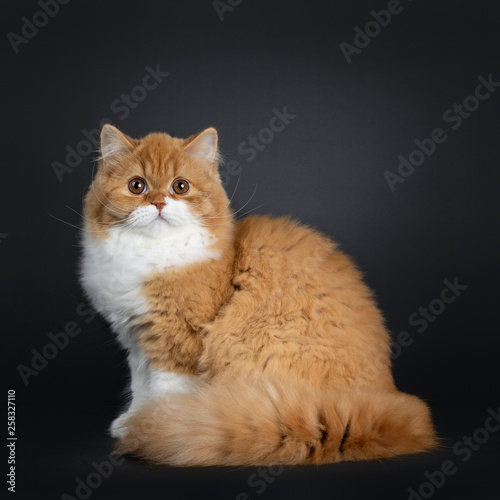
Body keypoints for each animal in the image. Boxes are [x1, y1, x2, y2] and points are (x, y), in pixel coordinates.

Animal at [80, 124, 436, 464]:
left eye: (180, 187)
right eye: (136, 186)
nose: (158, 203)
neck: (149, 255)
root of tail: (381, 405)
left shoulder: (175, 340)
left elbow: (164, 389)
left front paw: (155, 422)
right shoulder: (136, 338)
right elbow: (141, 386)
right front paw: (132, 421)